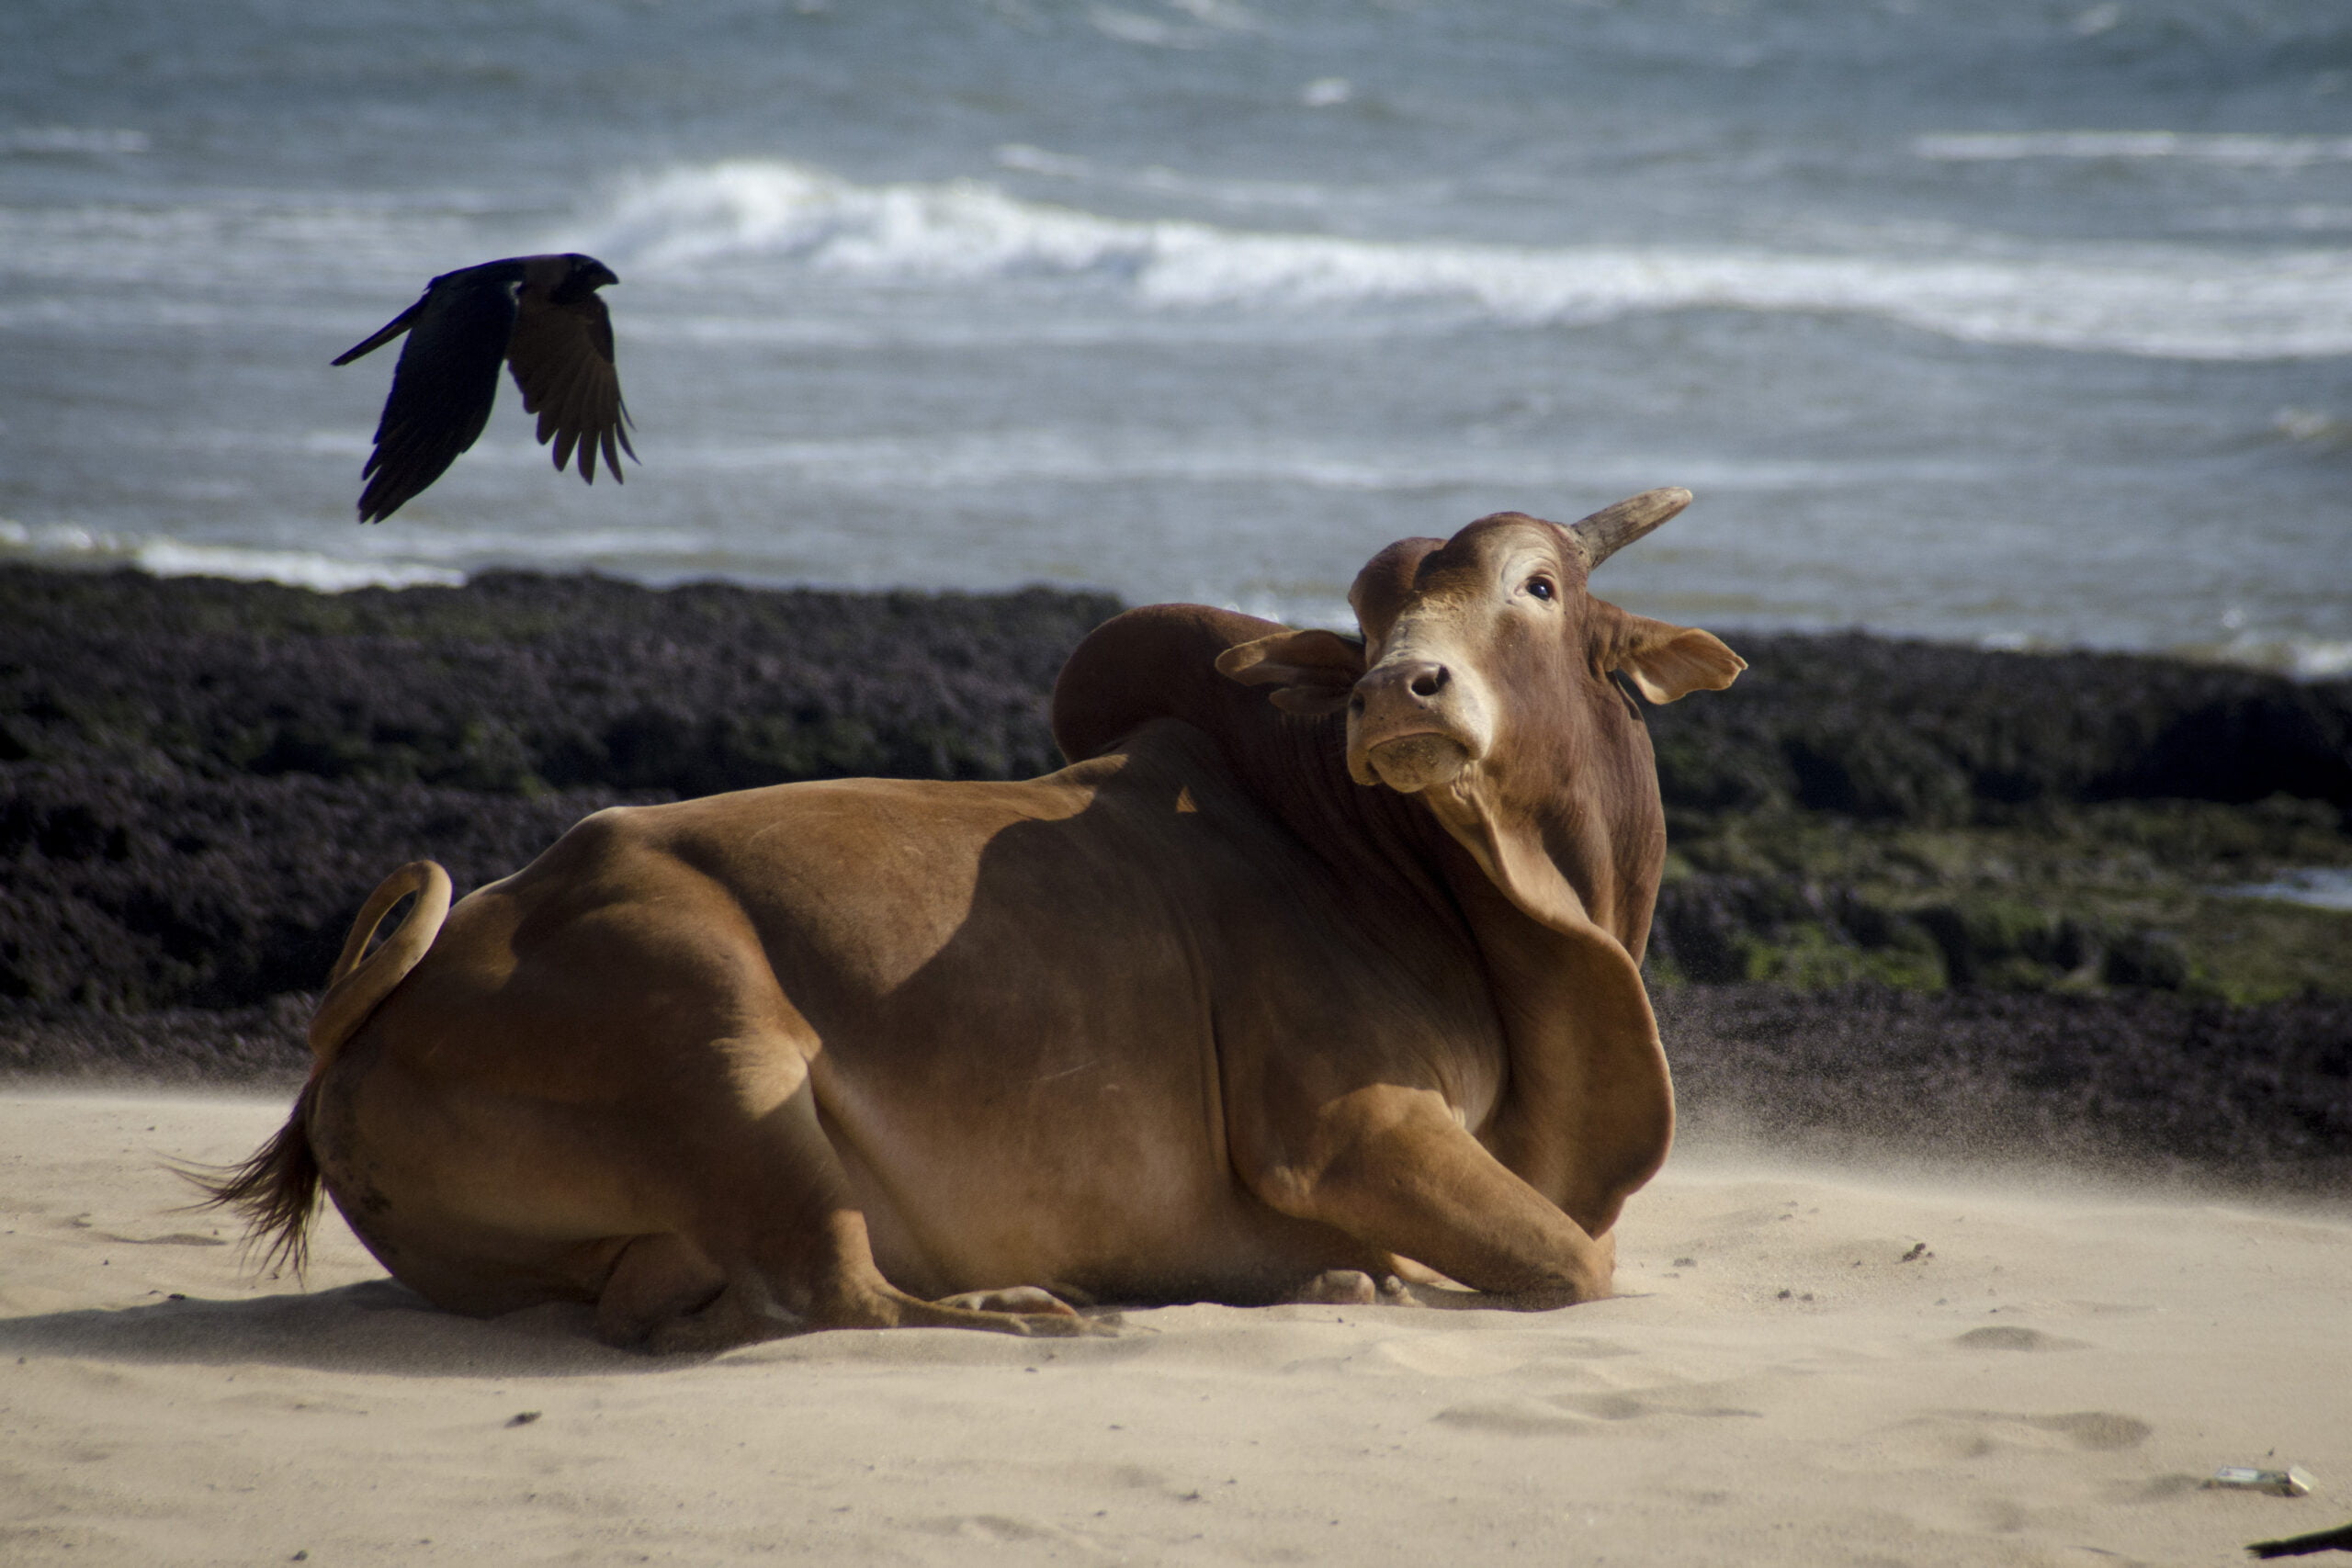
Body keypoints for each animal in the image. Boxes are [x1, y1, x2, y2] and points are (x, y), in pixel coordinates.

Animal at [205, 488, 1744, 1349]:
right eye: (1365, 631)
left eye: (1537, 587)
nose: (1393, 693)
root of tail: (372, 1015)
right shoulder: (1347, 1126)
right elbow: (1580, 1260)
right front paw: (1375, 1279)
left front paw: (1349, 1278)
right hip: (726, 1053)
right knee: (835, 1290)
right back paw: (1029, 1308)